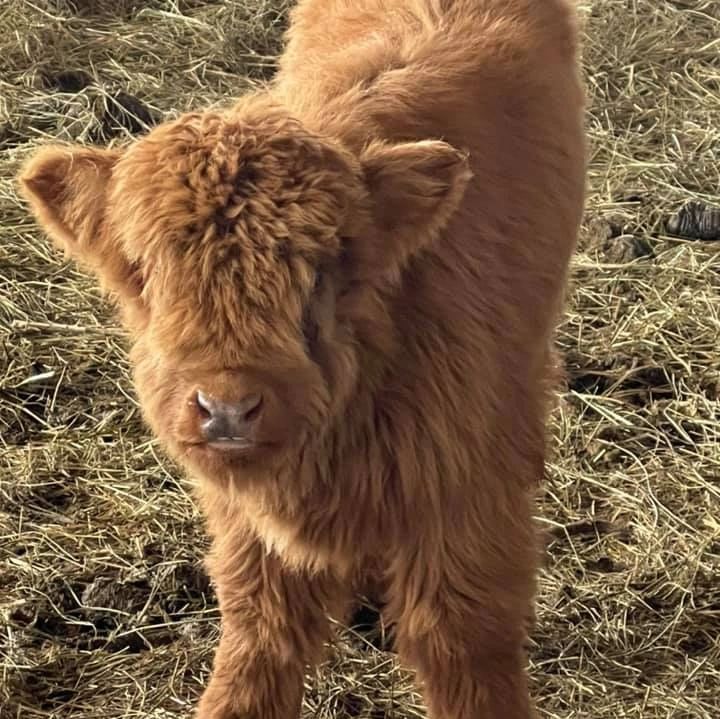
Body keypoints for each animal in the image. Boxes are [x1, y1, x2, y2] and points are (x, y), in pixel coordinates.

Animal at [19, 1, 588, 719]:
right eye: (145, 273)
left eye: (316, 274)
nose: (227, 407)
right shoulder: (249, 532)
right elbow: (259, 635)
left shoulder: (469, 502)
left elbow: (462, 643)